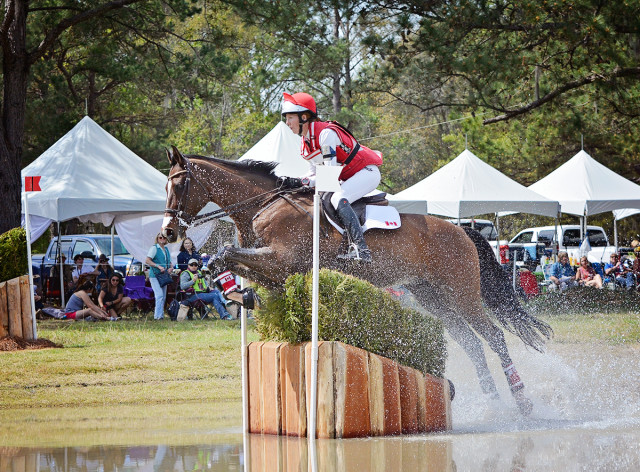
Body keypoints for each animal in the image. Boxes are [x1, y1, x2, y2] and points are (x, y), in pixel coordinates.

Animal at [162, 146, 552, 414]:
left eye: (179, 184)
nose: (168, 232)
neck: (264, 205)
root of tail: (462, 230)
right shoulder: (273, 268)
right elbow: (226, 260)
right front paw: (241, 296)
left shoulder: (282, 260)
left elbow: (225, 251)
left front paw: (236, 292)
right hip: (432, 297)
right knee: (472, 344)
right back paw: (492, 401)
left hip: (462, 294)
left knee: (494, 337)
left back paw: (522, 402)